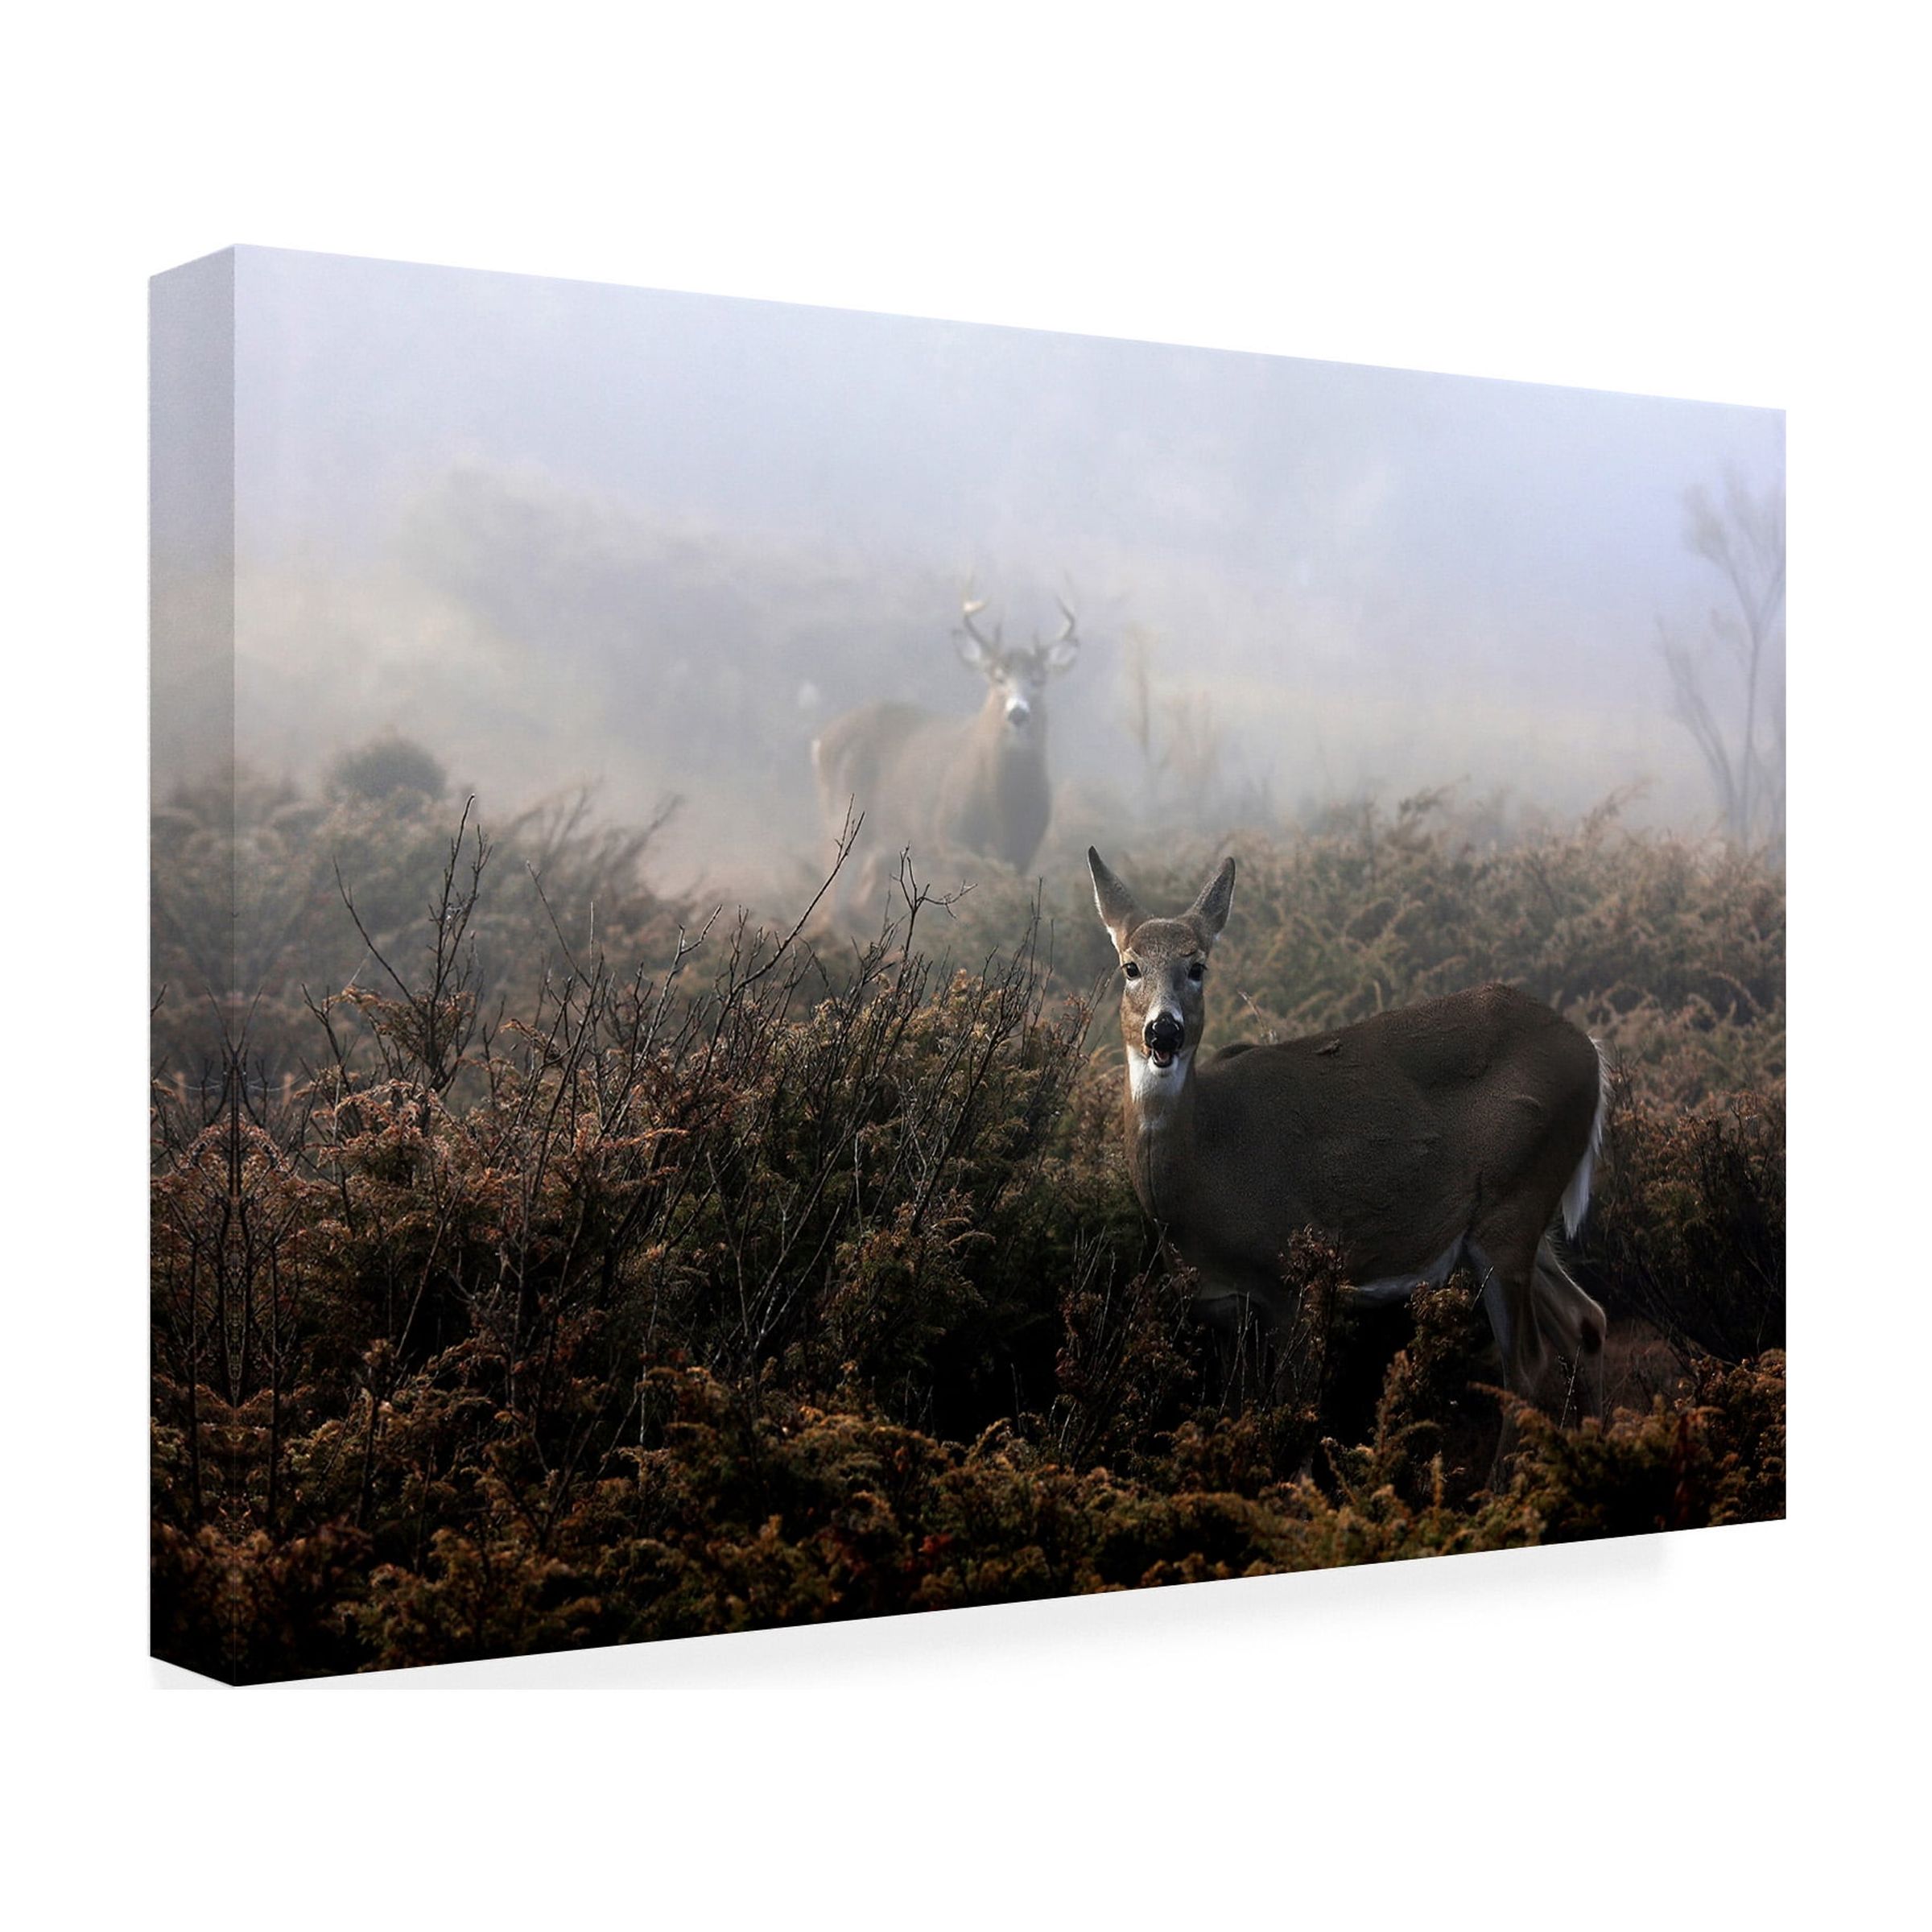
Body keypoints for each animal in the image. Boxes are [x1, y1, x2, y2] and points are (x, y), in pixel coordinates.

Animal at [811, 592, 1080, 922]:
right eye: (997, 677)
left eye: (1039, 680)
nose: (1018, 713)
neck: (1003, 807)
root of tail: (822, 742)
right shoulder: (952, 840)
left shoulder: (1023, 851)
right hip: (842, 817)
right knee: (830, 898)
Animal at [1087, 847, 1610, 1429]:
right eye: (1130, 967)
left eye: (1197, 967)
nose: (1165, 1031)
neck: (1207, 1167)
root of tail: (1590, 1052)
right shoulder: (1221, 1311)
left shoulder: (1296, 1280)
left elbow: (1293, 1414)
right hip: (1518, 1220)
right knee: (1587, 1319)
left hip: (1513, 1204)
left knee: (1530, 1367)